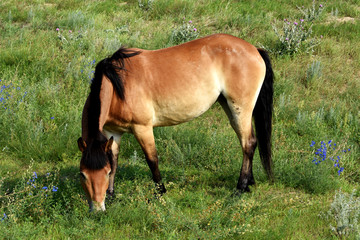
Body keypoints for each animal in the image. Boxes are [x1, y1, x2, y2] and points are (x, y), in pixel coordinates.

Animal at [78, 34, 272, 212]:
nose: (97, 209)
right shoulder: (113, 132)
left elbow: (152, 160)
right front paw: (111, 195)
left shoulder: (142, 128)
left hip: (240, 109)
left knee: (248, 143)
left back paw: (240, 188)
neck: (118, 85)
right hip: (230, 108)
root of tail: (254, 49)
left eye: (105, 173)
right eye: (83, 174)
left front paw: (160, 193)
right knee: (247, 143)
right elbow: (114, 160)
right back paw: (249, 183)